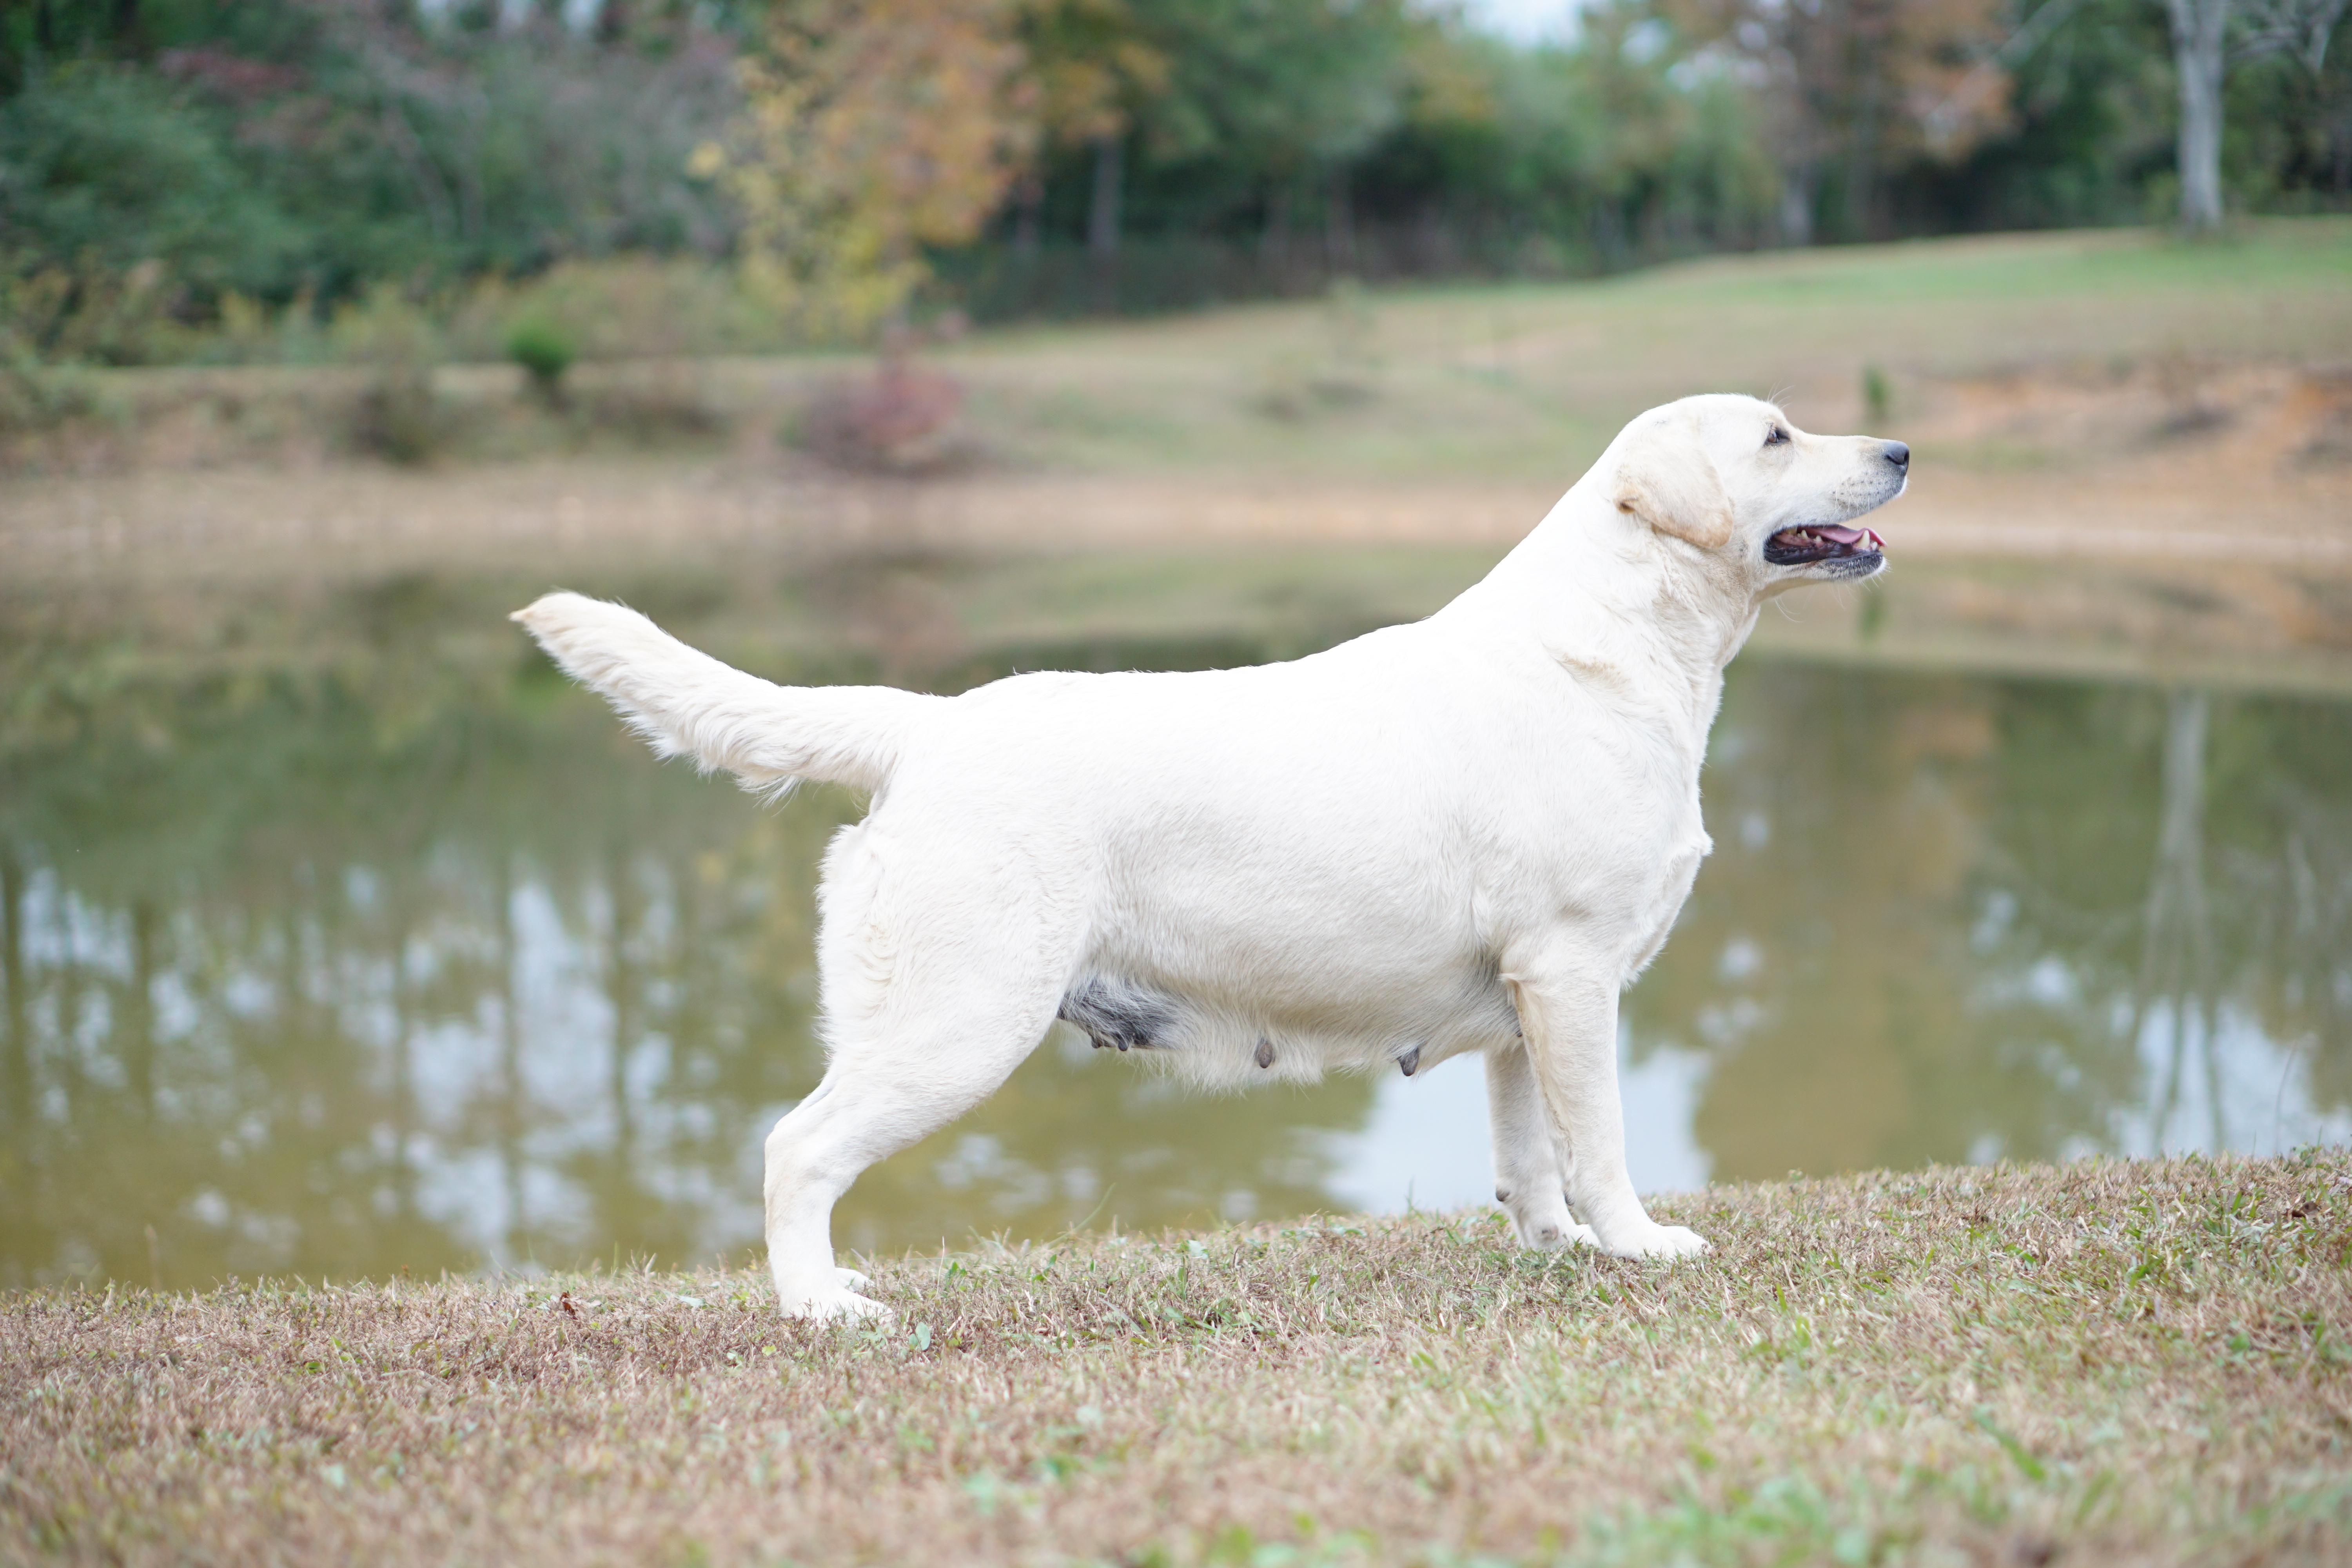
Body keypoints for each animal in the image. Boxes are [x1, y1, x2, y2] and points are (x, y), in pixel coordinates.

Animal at [515, 393, 1907, 1318]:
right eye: (1776, 437)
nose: (1900, 450)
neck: (1614, 643)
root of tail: (924, 724)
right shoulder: (1573, 974)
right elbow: (1602, 1138)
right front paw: (1638, 1243)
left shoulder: (1525, 998)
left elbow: (1529, 1153)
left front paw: (1555, 1246)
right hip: (960, 1018)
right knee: (796, 1150)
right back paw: (823, 1307)